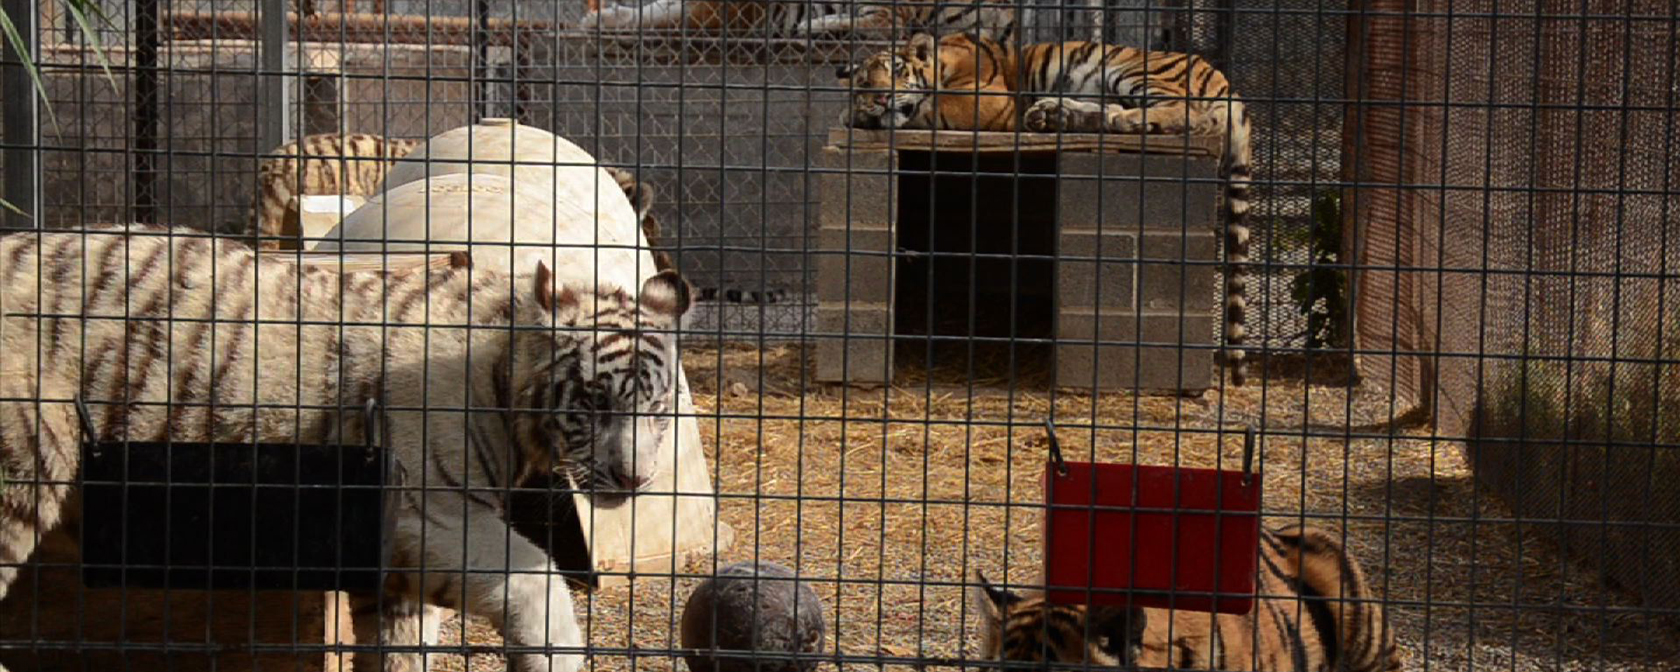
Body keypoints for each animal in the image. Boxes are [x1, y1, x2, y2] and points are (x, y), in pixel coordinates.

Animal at [0, 225, 692, 672]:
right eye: (596, 403)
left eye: (656, 410)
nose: (632, 479)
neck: (503, 370)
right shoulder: (425, 510)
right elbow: (535, 581)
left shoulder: (397, 563)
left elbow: (403, 645)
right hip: (20, 465)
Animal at [846, 32, 1256, 388]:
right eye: (864, 82)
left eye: (897, 70)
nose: (878, 98)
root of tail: (1227, 83)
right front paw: (858, 112)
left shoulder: (987, 102)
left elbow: (930, 110)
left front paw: (864, 116)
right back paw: (1056, 115)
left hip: (1134, 71)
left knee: (1189, 115)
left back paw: (1114, 119)